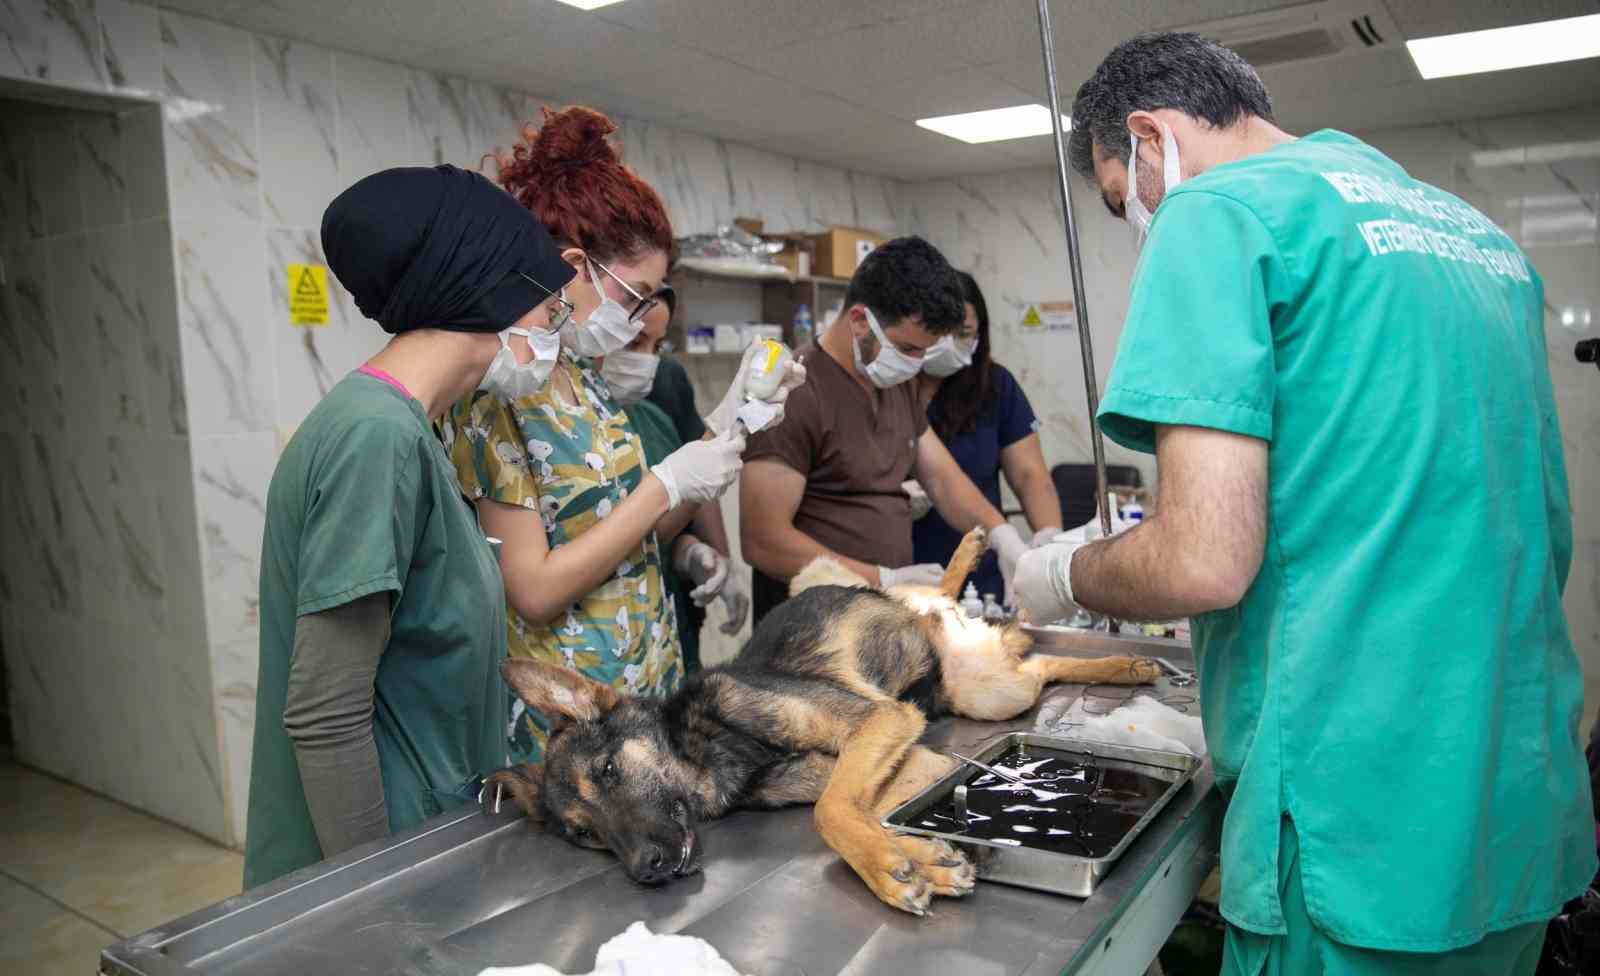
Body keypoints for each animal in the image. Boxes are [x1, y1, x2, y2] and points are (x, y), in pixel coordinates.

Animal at [480, 524, 1158, 908]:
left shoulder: (878, 724)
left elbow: (829, 815)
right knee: (1032, 657)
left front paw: (887, 868)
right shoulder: (910, 762)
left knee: (975, 617)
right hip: (980, 687)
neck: (712, 749)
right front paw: (913, 857)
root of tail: (929, 619)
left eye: (609, 771)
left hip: (961, 671)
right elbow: (848, 809)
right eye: (584, 834)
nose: (645, 870)